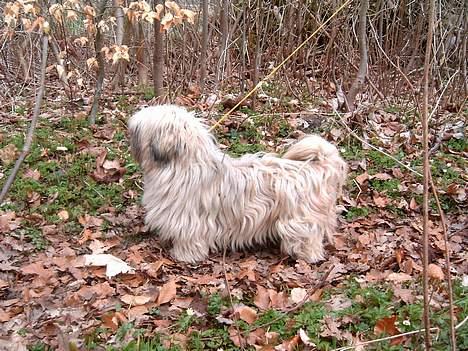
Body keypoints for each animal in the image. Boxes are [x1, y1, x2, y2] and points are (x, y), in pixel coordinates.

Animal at [128, 104, 348, 264]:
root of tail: (318, 167)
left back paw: (306, 256)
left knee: (307, 238)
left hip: (298, 221)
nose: (129, 126)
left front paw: (184, 256)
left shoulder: (189, 221)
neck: (183, 163)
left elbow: (189, 239)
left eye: (139, 129)